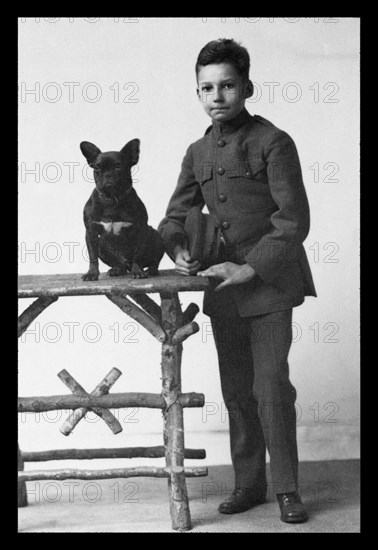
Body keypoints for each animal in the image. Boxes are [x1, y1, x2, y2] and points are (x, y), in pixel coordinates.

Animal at [80, 140, 165, 282]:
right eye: (97, 168)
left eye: (118, 167)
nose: (107, 175)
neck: (113, 198)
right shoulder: (91, 232)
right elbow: (93, 256)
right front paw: (92, 273)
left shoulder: (140, 229)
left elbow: (138, 254)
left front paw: (138, 271)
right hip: (102, 245)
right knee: (119, 264)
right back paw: (117, 269)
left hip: (156, 236)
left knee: (154, 260)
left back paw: (151, 269)